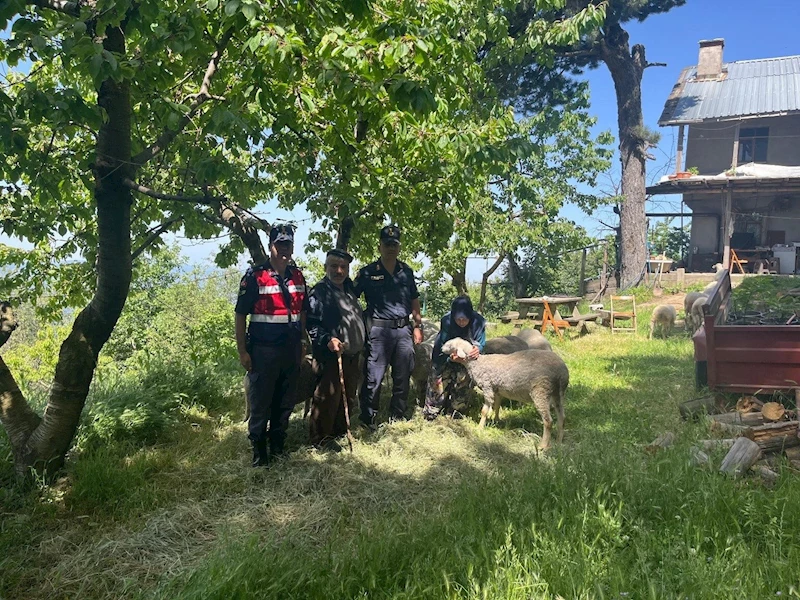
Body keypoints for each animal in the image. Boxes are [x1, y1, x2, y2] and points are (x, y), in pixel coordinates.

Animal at [438, 338, 568, 446]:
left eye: (450, 345)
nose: (441, 348)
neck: (477, 363)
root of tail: (561, 370)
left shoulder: (488, 387)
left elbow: (484, 411)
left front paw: (479, 428)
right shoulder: (497, 389)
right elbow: (497, 406)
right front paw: (496, 420)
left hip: (541, 391)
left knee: (548, 421)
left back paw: (543, 446)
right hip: (558, 393)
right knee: (562, 417)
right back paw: (559, 441)